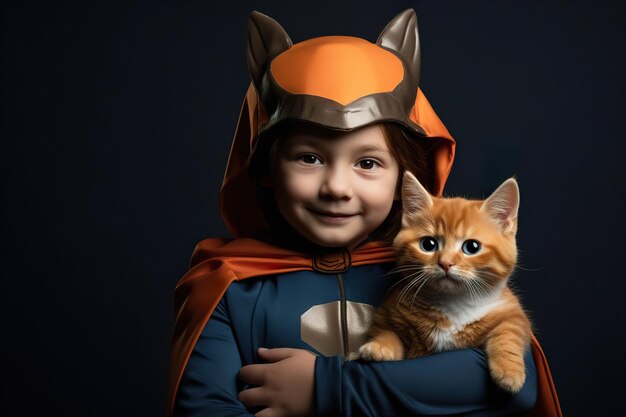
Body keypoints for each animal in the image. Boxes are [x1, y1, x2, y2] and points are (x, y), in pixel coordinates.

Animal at [356, 171, 532, 392]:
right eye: (428, 244)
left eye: (472, 247)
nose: (445, 263)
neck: (452, 304)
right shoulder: (388, 312)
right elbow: (387, 332)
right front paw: (379, 346)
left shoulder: (512, 310)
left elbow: (509, 331)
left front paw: (509, 371)